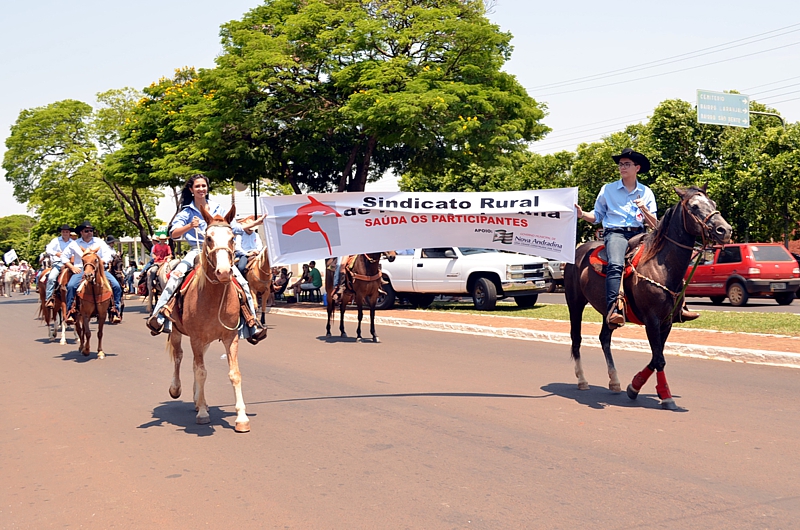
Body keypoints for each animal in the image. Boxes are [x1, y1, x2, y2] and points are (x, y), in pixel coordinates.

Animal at [162, 204, 250, 432]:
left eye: (232, 238)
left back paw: (197, 399)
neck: (213, 297)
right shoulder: (195, 337)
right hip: (178, 332)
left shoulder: (230, 338)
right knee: (179, 357)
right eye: (208, 238)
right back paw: (176, 389)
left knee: (194, 363)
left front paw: (241, 418)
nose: (224, 272)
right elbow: (201, 372)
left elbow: (234, 374)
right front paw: (202, 413)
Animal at [564, 186, 732, 408]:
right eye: (694, 206)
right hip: (575, 303)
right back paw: (582, 380)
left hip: (608, 311)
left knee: (604, 338)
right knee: (576, 339)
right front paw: (665, 395)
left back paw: (615, 381)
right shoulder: (652, 320)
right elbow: (659, 358)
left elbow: (656, 355)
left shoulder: (666, 321)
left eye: (713, 203)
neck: (662, 266)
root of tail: (578, 251)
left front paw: (634, 386)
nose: (725, 230)